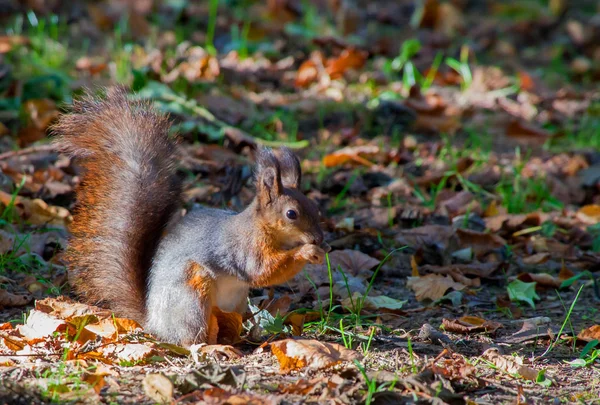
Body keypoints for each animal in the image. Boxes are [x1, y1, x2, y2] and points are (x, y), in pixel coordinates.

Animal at [54, 87, 328, 344]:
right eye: (291, 214)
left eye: (316, 209)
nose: (318, 239)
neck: (262, 227)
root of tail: (154, 322)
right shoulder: (245, 249)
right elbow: (262, 271)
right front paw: (307, 252)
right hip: (193, 294)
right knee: (190, 338)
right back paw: (210, 345)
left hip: (235, 301)